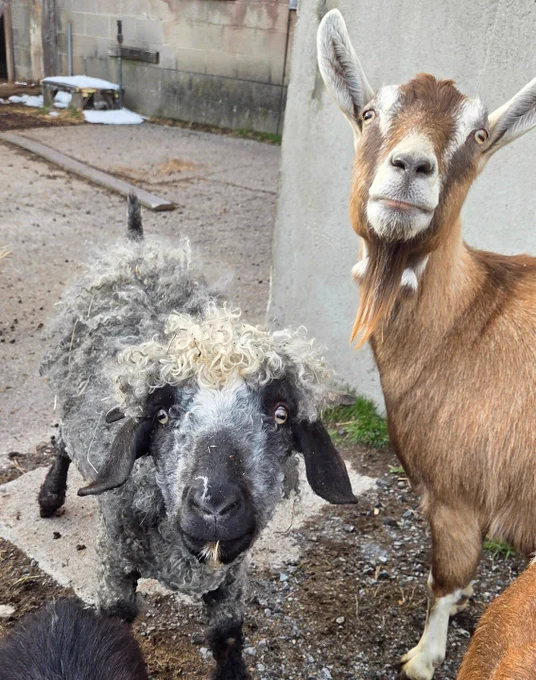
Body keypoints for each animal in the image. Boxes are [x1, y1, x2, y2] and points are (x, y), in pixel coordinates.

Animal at [37, 194, 357, 680]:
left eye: (281, 414)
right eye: (162, 414)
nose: (214, 506)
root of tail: (137, 243)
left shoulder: (232, 575)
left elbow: (227, 633)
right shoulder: (114, 566)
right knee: (61, 443)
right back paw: (50, 496)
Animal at [317, 9, 536, 680]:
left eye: (481, 135)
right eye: (369, 113)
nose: (411, 167)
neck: (468, 320)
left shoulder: (459, 498)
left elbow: (444, 579)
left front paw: (422, 656)